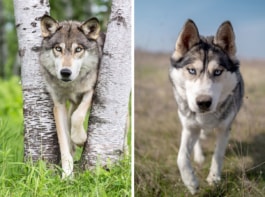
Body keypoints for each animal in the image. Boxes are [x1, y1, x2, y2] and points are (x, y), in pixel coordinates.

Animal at [39, 15, 104, 179]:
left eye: (78, 49)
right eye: (58, 49)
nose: (65, 72)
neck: (70, 86)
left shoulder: (91, 91)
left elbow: (78, 117)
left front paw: (81, 139)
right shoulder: (59, 105)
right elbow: (63, 142)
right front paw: (67, 175)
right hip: (70, 106)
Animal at [169, 19, 243, 195]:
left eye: (217, 72)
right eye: (191, 70)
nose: (203, 102)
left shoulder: (224, 128)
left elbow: (218, 154)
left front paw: (214, 178)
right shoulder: (189, 127)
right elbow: (181, 157)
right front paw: (191, 183)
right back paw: (199, 156)